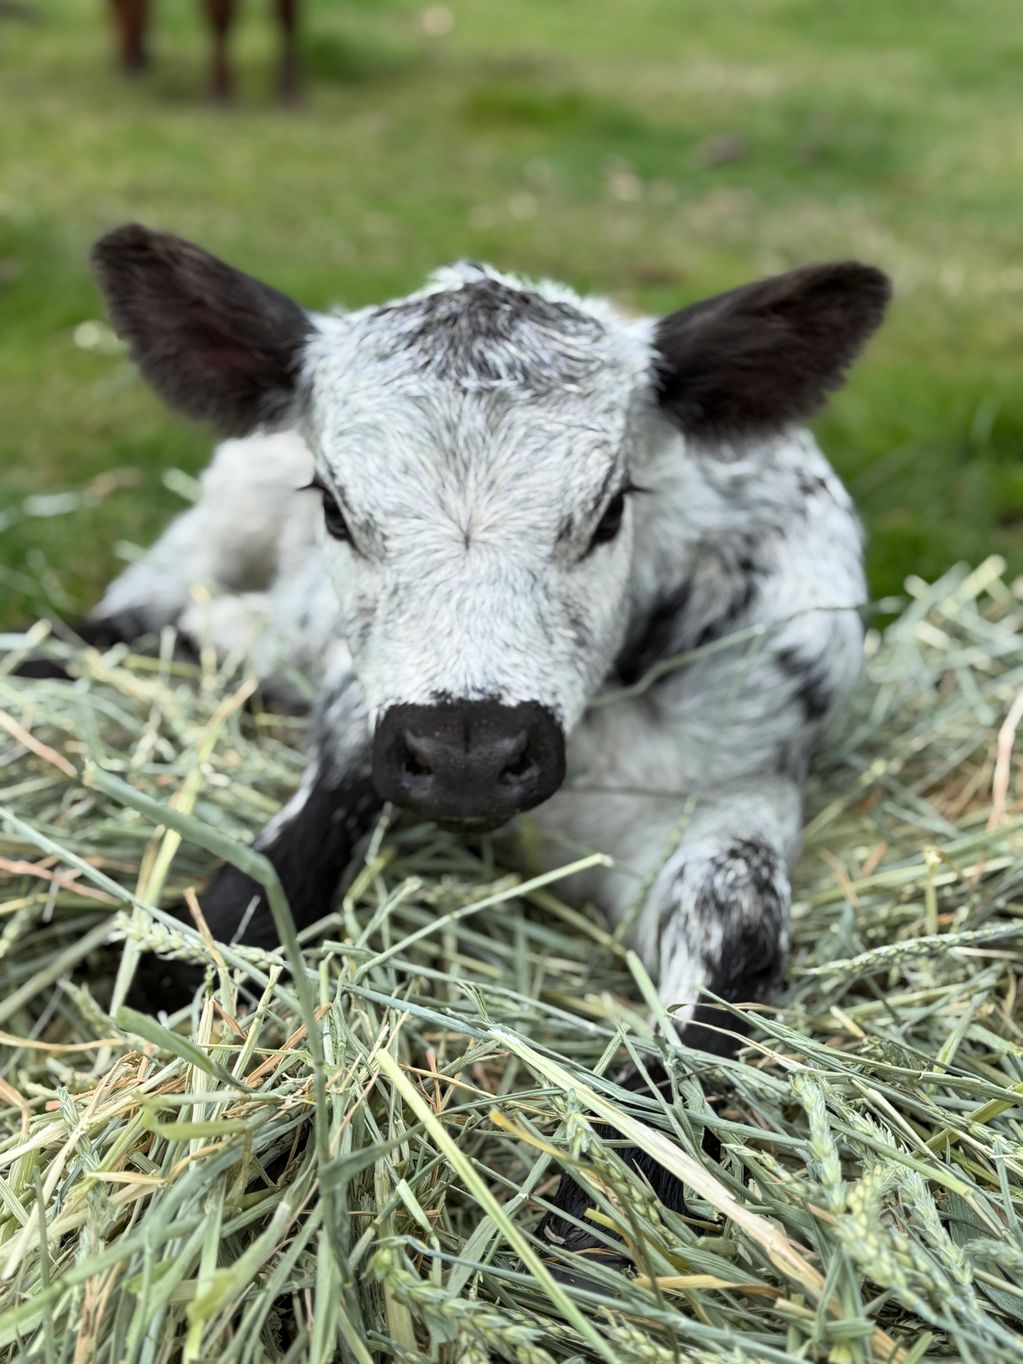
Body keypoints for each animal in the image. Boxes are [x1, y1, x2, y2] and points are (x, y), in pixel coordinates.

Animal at [71, 224, 890, 1259]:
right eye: (333, 506)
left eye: (611, 508)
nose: (470, 755)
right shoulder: (359, 703)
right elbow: (288, 853)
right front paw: (181, 959)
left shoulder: (743, 784)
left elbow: (735, 941)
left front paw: (615, 1182)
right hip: (223, 513)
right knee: (152, 601)